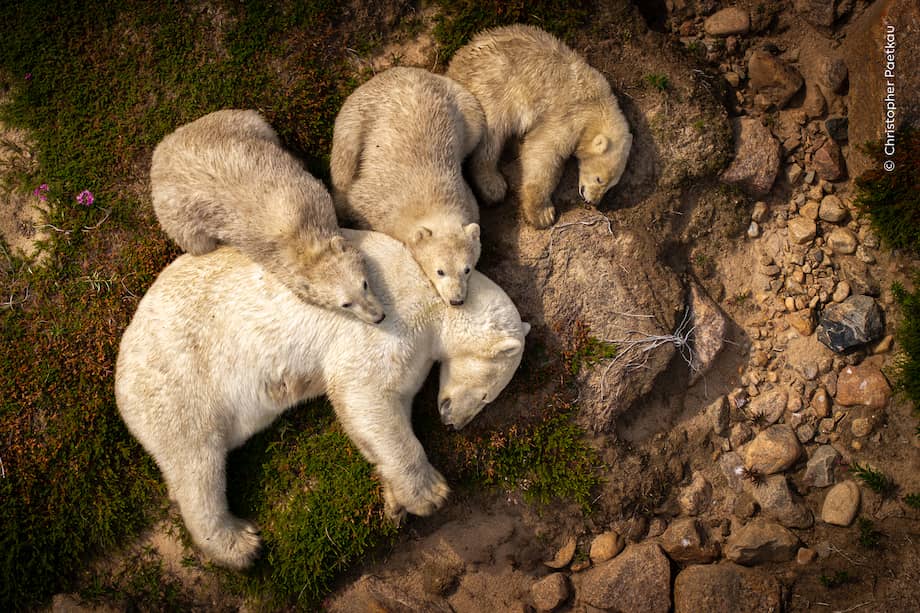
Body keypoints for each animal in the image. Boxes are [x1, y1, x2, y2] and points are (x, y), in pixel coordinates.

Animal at [114, 229, 529, 569]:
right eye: (488, 395)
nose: (455, 423)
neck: (435, 292)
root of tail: (121, 367)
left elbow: (382, 414)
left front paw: (394, 502)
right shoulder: (392, 317)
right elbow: (363, 390)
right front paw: (429, 494)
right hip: (181, 378)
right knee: (196, 461)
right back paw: (238, 543)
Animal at [150, 109, 385, 324]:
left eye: (364, 284)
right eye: (345, 304)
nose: (378, 317)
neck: (299, 237)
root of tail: (160, 151)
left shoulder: (311, 193)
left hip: (228, 124)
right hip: (176, 216)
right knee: (198, 243)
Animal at [330, 67, 485, 306]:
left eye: (467, 269)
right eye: (440, 271)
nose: (456, 300)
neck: (433, 196)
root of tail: (407, 70)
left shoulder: (468, 199)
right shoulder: (377, 200)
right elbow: (354, 201)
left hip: (464, 106)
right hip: (359, 113)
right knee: (344, 159)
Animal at [446, 24, 633, 228]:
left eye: (611, 185)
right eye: (599, 179)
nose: (593, 201)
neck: (597, 104)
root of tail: (454, 65)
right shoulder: (568, 115)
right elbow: (541, 151)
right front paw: (543, 214)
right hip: (491, 87)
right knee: (490, 136)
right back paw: (493, 185)